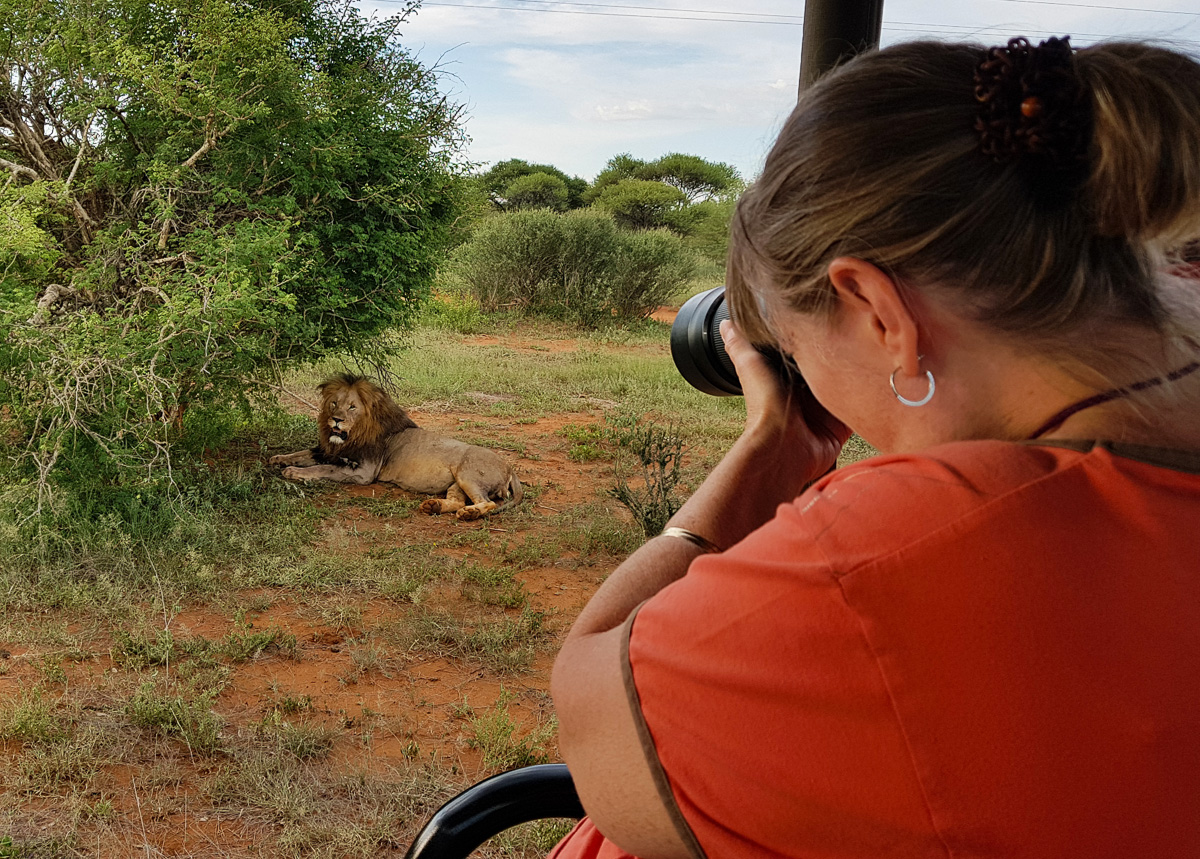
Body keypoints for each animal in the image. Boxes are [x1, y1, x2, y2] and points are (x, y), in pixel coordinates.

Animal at [270, 374, 523, 520]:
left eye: (352, 407)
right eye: (334, 403)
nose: (336, 420)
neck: (354, 434)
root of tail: (511, 468)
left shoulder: (364, 472)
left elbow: (322, 469)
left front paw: (293, 472)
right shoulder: (331, 452)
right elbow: (304, 453)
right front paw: (279, 458)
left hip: (467, 474)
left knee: (488, 503)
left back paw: (470, 513)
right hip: (457, 482)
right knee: (457, 501)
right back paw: (433, 507)